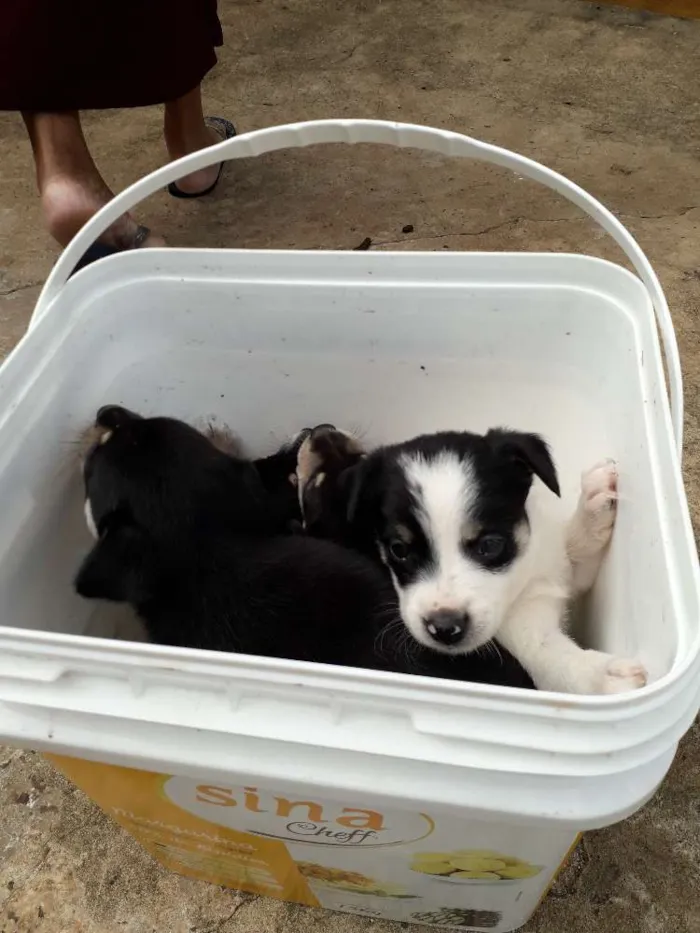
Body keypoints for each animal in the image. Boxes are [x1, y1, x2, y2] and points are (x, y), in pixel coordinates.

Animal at [296, 422, 644, 692]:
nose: (444, 628)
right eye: (399, 550)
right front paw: (603, 677)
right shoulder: (521, 643)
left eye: (489, 545)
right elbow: (549, 655)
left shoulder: (554, 566)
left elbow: (574, 550)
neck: (519, 584)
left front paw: (594, 504)